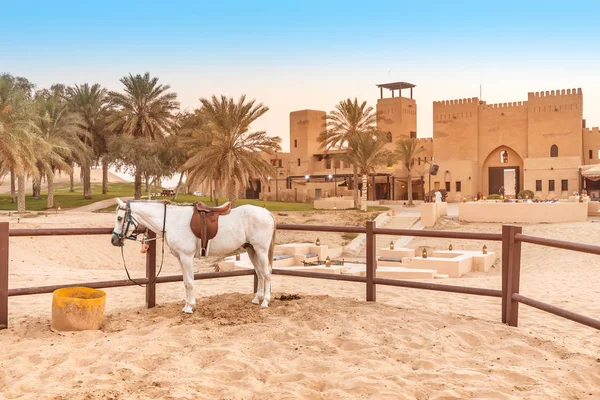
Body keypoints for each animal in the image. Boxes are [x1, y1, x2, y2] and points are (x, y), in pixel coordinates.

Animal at [110, 200, 276, 312]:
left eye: (119, 218)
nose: (114, 240)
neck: (172, 221)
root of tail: (266, 212)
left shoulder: (186, 257)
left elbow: (190, 282)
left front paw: (190, 307)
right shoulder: (180, 258)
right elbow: (185, 282)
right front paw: (187, 305)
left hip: (261, 250)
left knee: (266, 273)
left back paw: (265, 302)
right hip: (251, 250)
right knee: (259, 273)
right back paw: (256, 299)